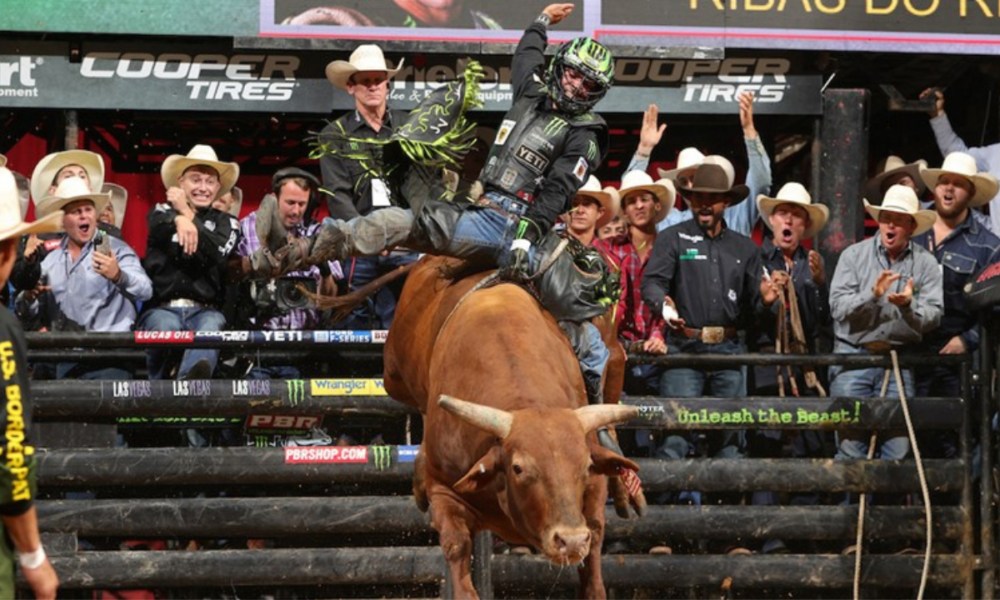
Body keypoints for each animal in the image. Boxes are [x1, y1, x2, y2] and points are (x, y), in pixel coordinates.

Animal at [382, 255, 632, 596]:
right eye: (519, 468)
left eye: (583, 466)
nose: (569, 541)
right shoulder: (444, 491)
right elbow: (457, 549)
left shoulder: (593, 489)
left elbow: (593, 553)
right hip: (394, 374)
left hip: (614, 355)